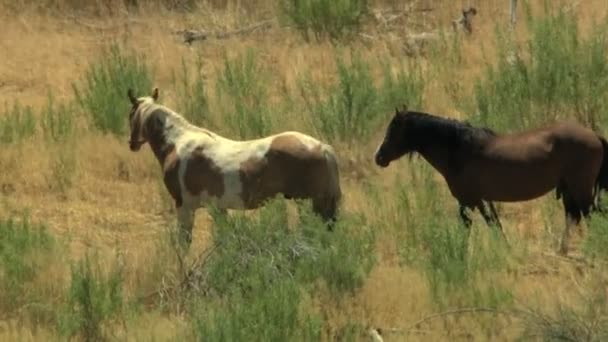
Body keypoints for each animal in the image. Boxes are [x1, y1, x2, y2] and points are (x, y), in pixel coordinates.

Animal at [372, 107, 608, 254]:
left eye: (392, 131)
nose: (379, 157)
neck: (460, 148)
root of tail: (595, 136)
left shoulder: (469, 201)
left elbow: (475, 226)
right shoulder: (482, 200)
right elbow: (495, 224)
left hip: (580, 189)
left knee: (590, 216)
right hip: (570, 189)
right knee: (574, 217)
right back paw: (562, 250)